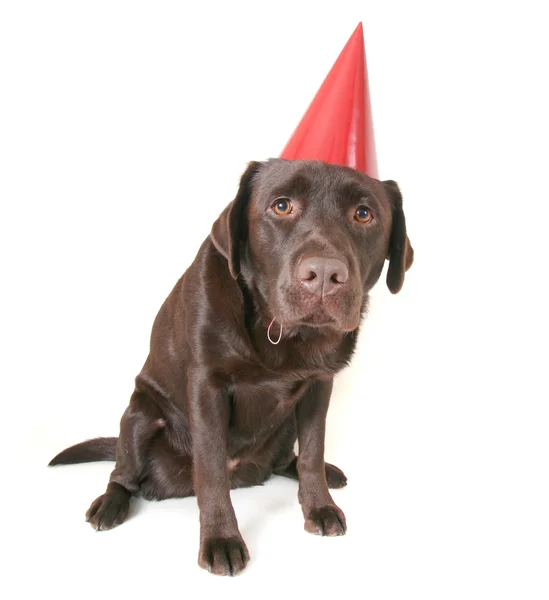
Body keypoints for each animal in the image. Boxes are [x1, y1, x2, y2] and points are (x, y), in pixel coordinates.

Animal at [50, 159, 412, 576]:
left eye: (364, 214)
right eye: (282, 206)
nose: (323, 274)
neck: (282, 334)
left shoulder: (320, 385)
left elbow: (312, 451)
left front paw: (319, 505)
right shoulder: (208, 388)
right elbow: (210, 472)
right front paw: (221, 538)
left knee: (286, 459)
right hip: (140, 413)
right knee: (122, 474)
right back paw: (110, 504)